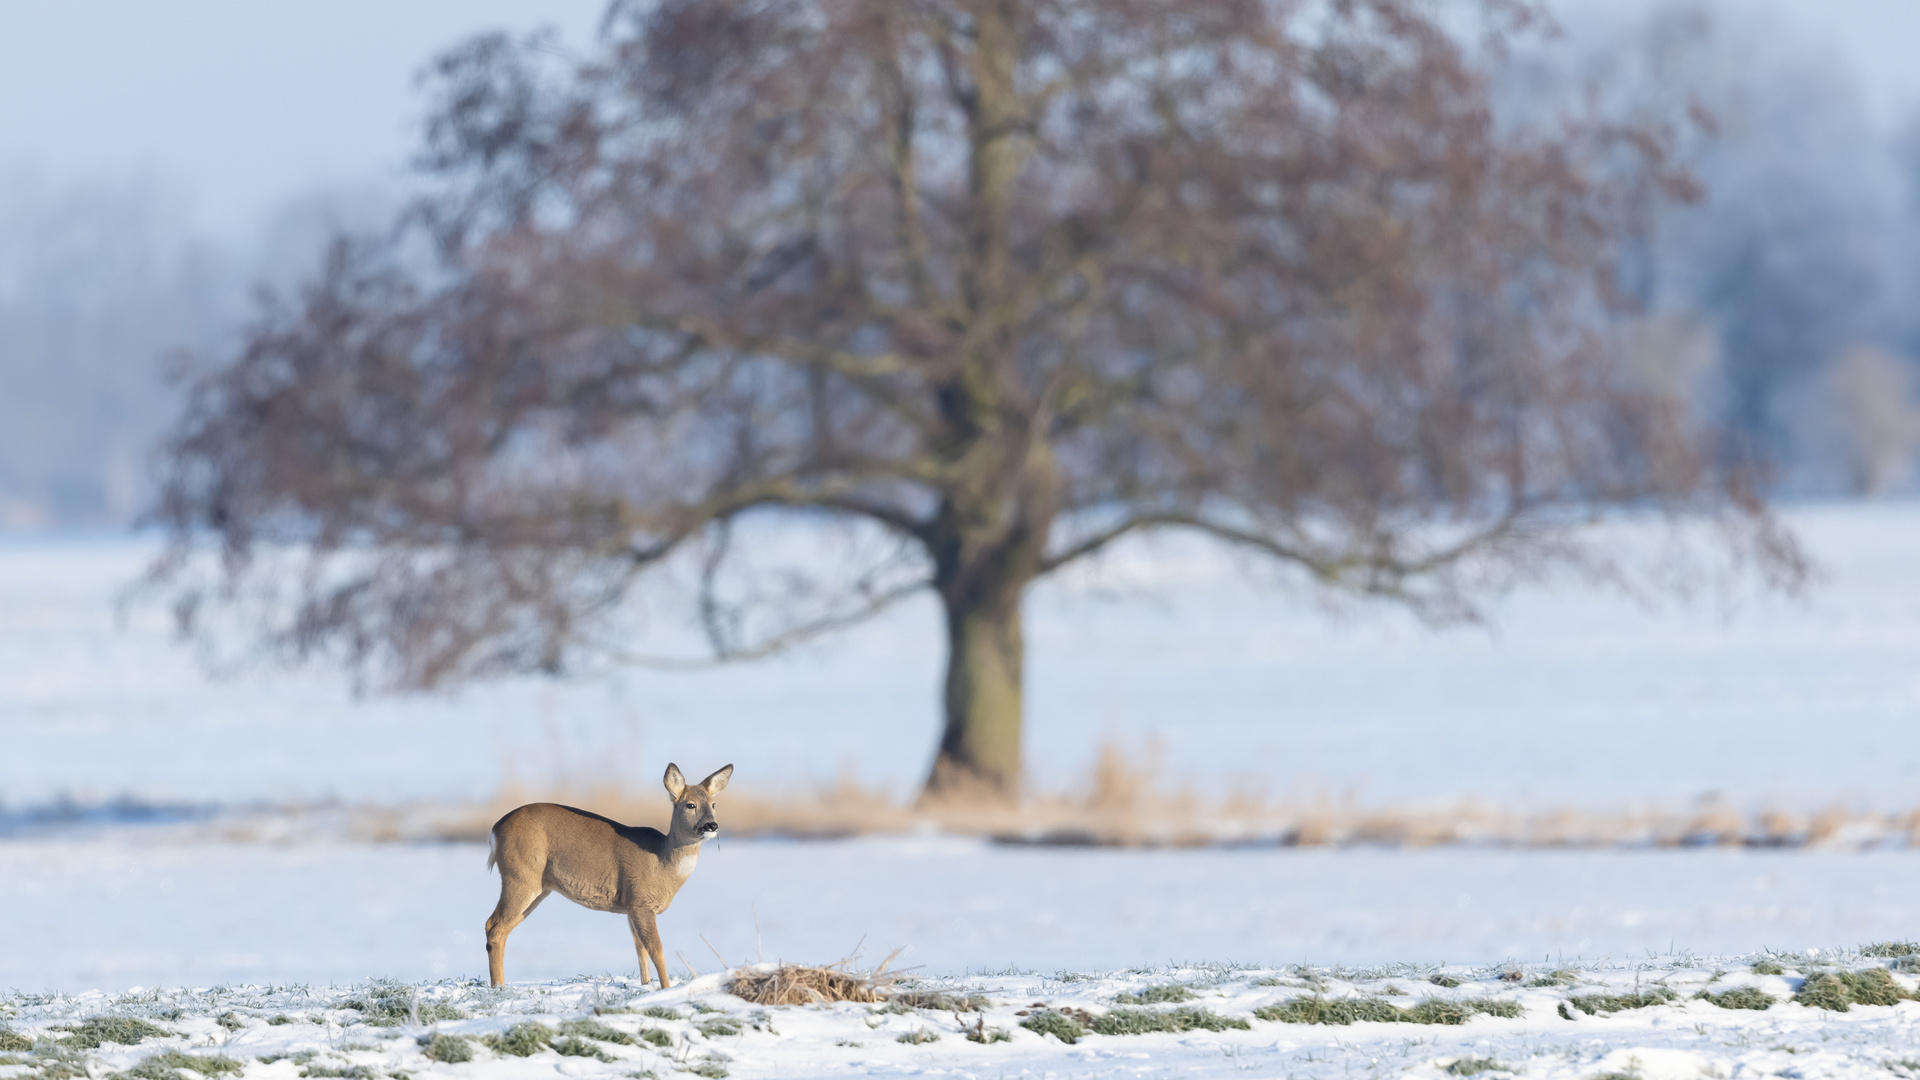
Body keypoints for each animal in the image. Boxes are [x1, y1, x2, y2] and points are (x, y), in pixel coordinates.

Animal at [487, 757, 733, 983]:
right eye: (690, 805)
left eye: (713, 804)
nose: (712, 825)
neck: (662, 862)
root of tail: (494, 830)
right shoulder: (641, 901)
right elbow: (657, 951)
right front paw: (665, 988)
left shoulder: (631, 907)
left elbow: (640, 951)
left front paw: (646, 986)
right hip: (520, 876)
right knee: (495, 926)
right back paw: (499, 987)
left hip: (540, 888)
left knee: (501, 927)